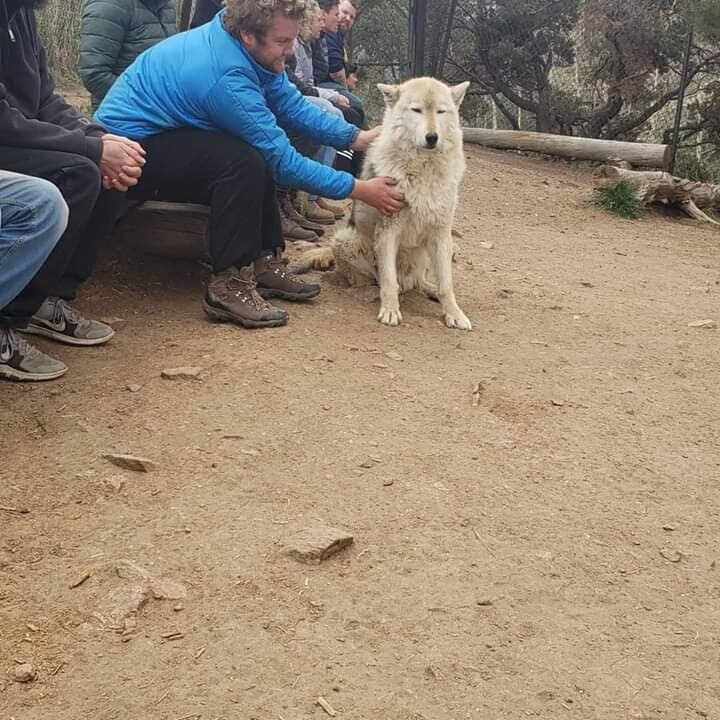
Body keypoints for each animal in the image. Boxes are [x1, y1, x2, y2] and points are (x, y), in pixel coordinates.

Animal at [301, 76, 472, 330]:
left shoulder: (440, 234)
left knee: (418, 282)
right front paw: (390, 311)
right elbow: (389, 281)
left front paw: (454, 313)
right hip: (346, 239)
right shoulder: (388, 231)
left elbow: (446, 284)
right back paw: (375, 293)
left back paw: (427, 289)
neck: (423, 169)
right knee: (375, 279)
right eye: (416, 110)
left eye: (441, 111)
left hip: (427, 253)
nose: (432, 137)